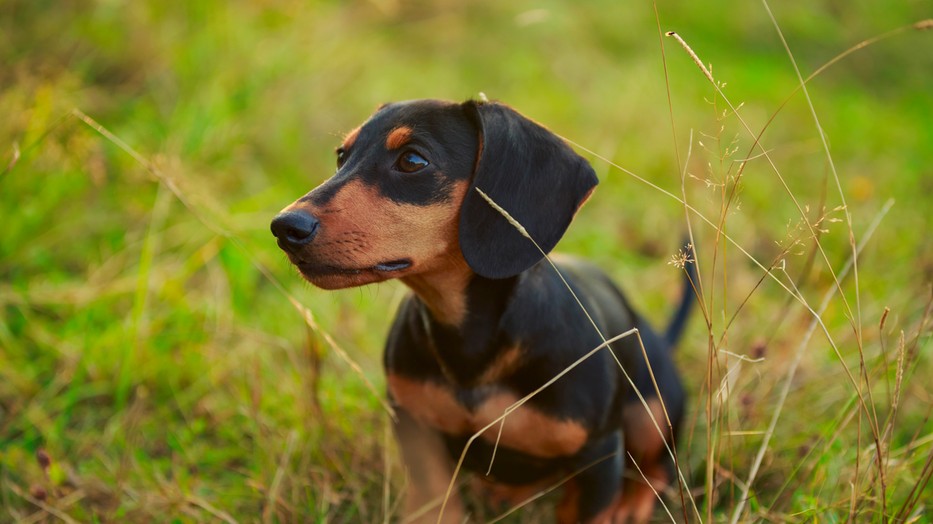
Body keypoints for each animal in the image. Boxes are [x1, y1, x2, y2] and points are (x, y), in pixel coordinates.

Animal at [270, 100, 692, 520]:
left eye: (412, 160)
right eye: (342, 156)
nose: (284, 228)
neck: (468, 342)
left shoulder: (600, 455)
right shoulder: (417, 433)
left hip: (651, 413)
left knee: (657, 470)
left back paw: (630, 505)